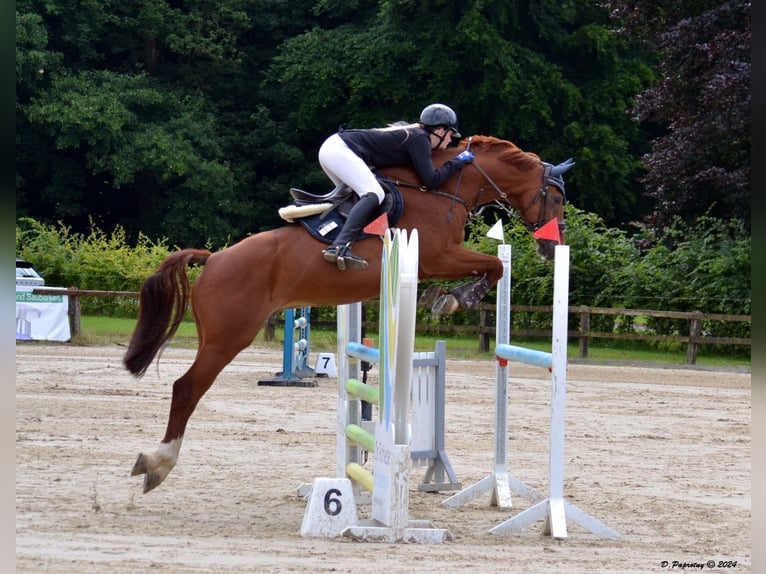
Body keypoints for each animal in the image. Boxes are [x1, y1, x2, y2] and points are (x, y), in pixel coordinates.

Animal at [123, 135, 572, 496]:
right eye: (556, 199)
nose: (552, 247)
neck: (443, 190)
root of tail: (214, 260)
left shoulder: (436, 262)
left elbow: (490, 268)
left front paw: (444, 298)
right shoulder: (439, 256)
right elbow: (493, 267)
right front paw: (455, 299)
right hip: (227, 338)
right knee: (186, 389)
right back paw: (157, 464)